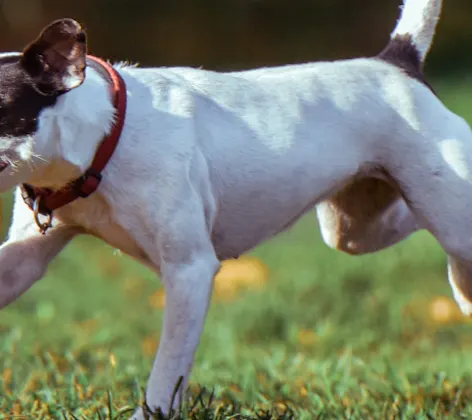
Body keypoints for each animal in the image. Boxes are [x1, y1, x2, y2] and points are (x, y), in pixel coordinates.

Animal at [0, 0, 468, 416]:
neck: (103, 135)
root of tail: (395, 63)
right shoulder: (23, 259)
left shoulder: (188, 271)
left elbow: (167, 370)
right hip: (353, 229)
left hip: (437, 215)